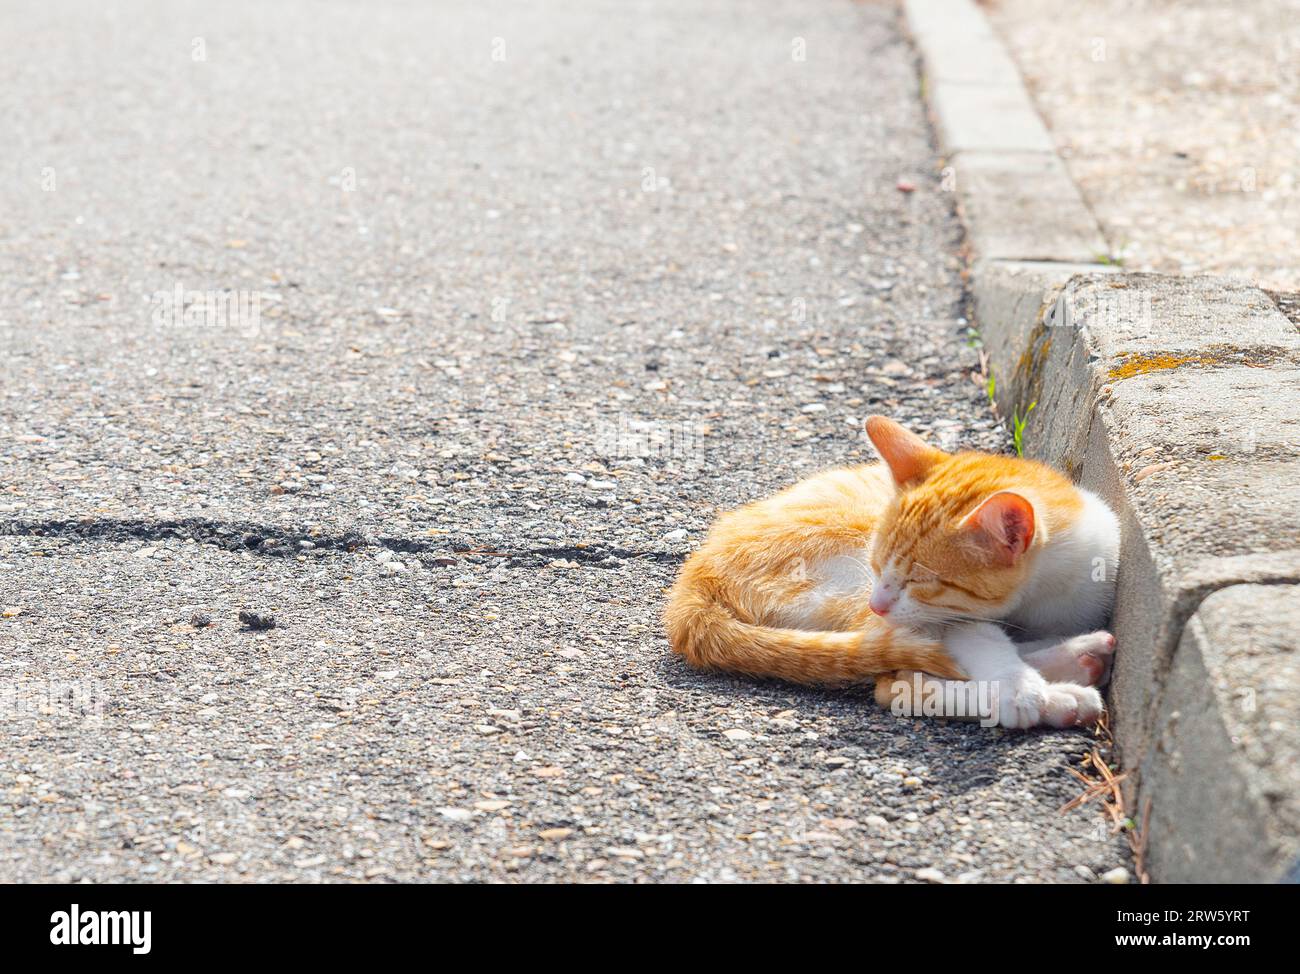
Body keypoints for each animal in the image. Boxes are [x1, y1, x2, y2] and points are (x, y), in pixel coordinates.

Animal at [665, 413, 1123, 728]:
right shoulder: (945, 617)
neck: (1035, 599)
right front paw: (1018, 688)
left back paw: (1077, 659)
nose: (879, 602)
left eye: (920, 581)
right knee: (898, 685)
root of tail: (694, 580)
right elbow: (976, 640)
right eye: (876, 565)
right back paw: (1061, 695)